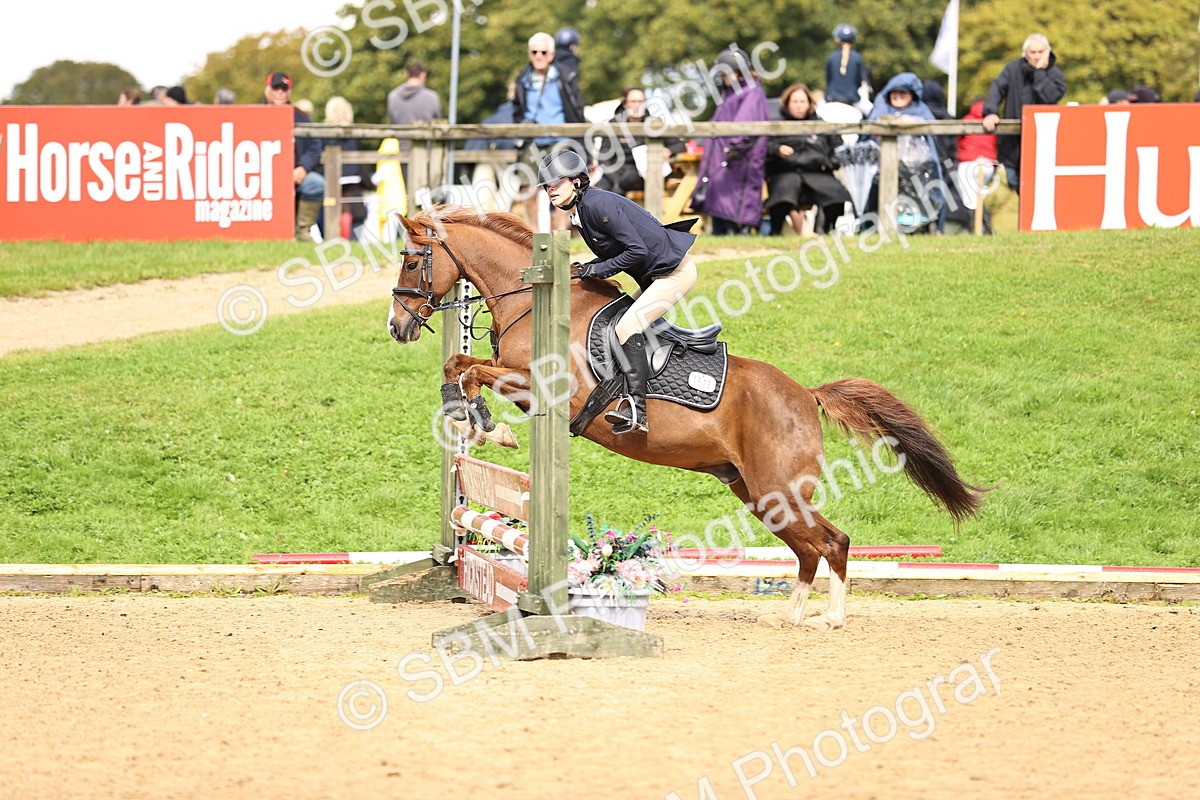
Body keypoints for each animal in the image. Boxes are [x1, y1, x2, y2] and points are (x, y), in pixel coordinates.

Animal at [387, 208, 987, 630]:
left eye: (412, 260)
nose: (398, 326)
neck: (533, 299)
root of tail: (806, 395)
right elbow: (459, 366)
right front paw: (472, 421)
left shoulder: (543, 390)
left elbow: (473, 373)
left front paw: (494, 429)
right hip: (757, 492)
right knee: (807, 548)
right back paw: (793, 613)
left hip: (778, 485)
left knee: (833, 542)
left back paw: (831, 617)